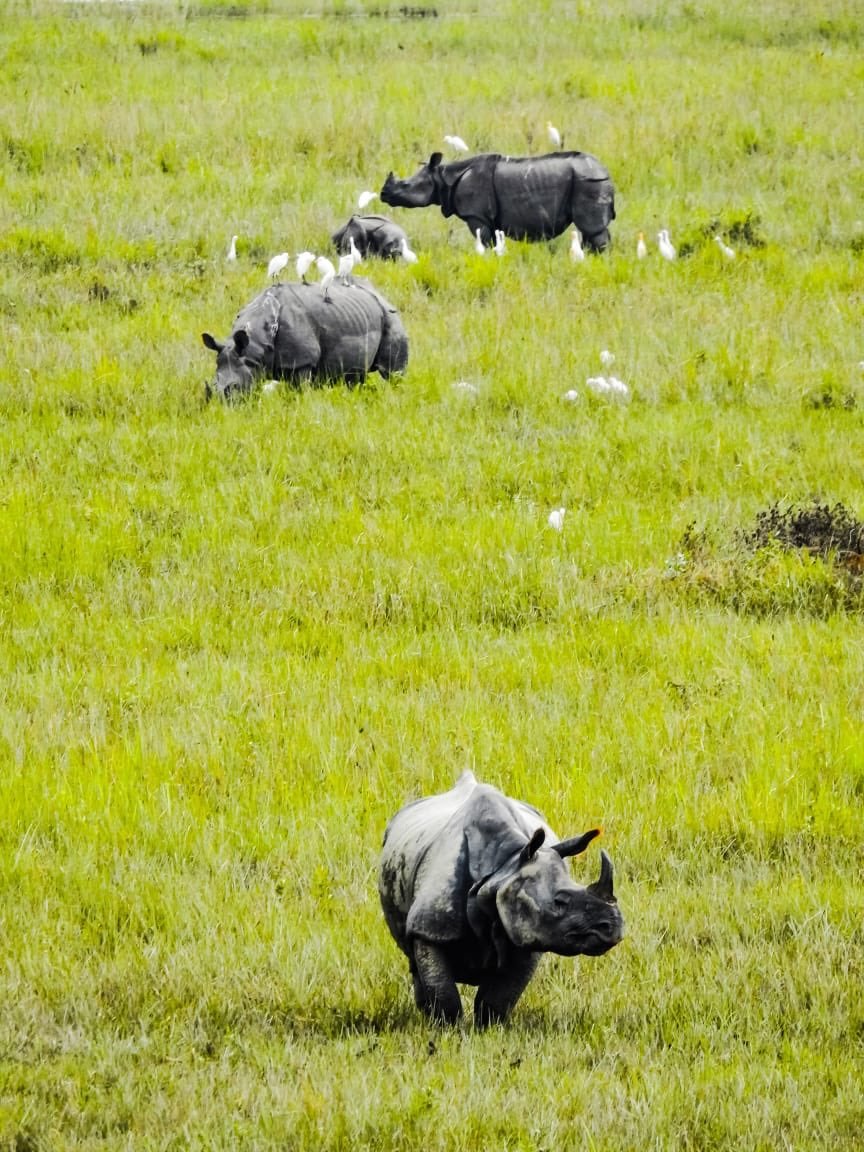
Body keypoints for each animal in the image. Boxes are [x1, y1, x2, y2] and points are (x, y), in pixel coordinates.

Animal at [201, 280, 408, 401]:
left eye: (235, 388)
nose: (222, 405)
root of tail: (379, 293)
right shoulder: (256, 365)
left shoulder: (302, 361)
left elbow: (301, 390)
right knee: (355, 376)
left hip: (390, 316)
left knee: (392, 373)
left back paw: (397, 396)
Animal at [379, 771, 624, 1027]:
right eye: (559, 902)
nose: (612, 928)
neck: (503, 866)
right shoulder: (429, 927)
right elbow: (442, 989)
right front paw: (448, 1028)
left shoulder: (528, 934)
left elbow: (499, 997)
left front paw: (489, 1028)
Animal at [381, 150, 615, 252]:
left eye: (405, 185)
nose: (383, 195)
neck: (442, 177)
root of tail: (604, 170)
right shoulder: (487, 218)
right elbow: (493, 241)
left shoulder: (476, 215)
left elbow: (483, 241)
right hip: (589, 180)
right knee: (590, 230)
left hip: (588, 181)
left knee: (592, 229)